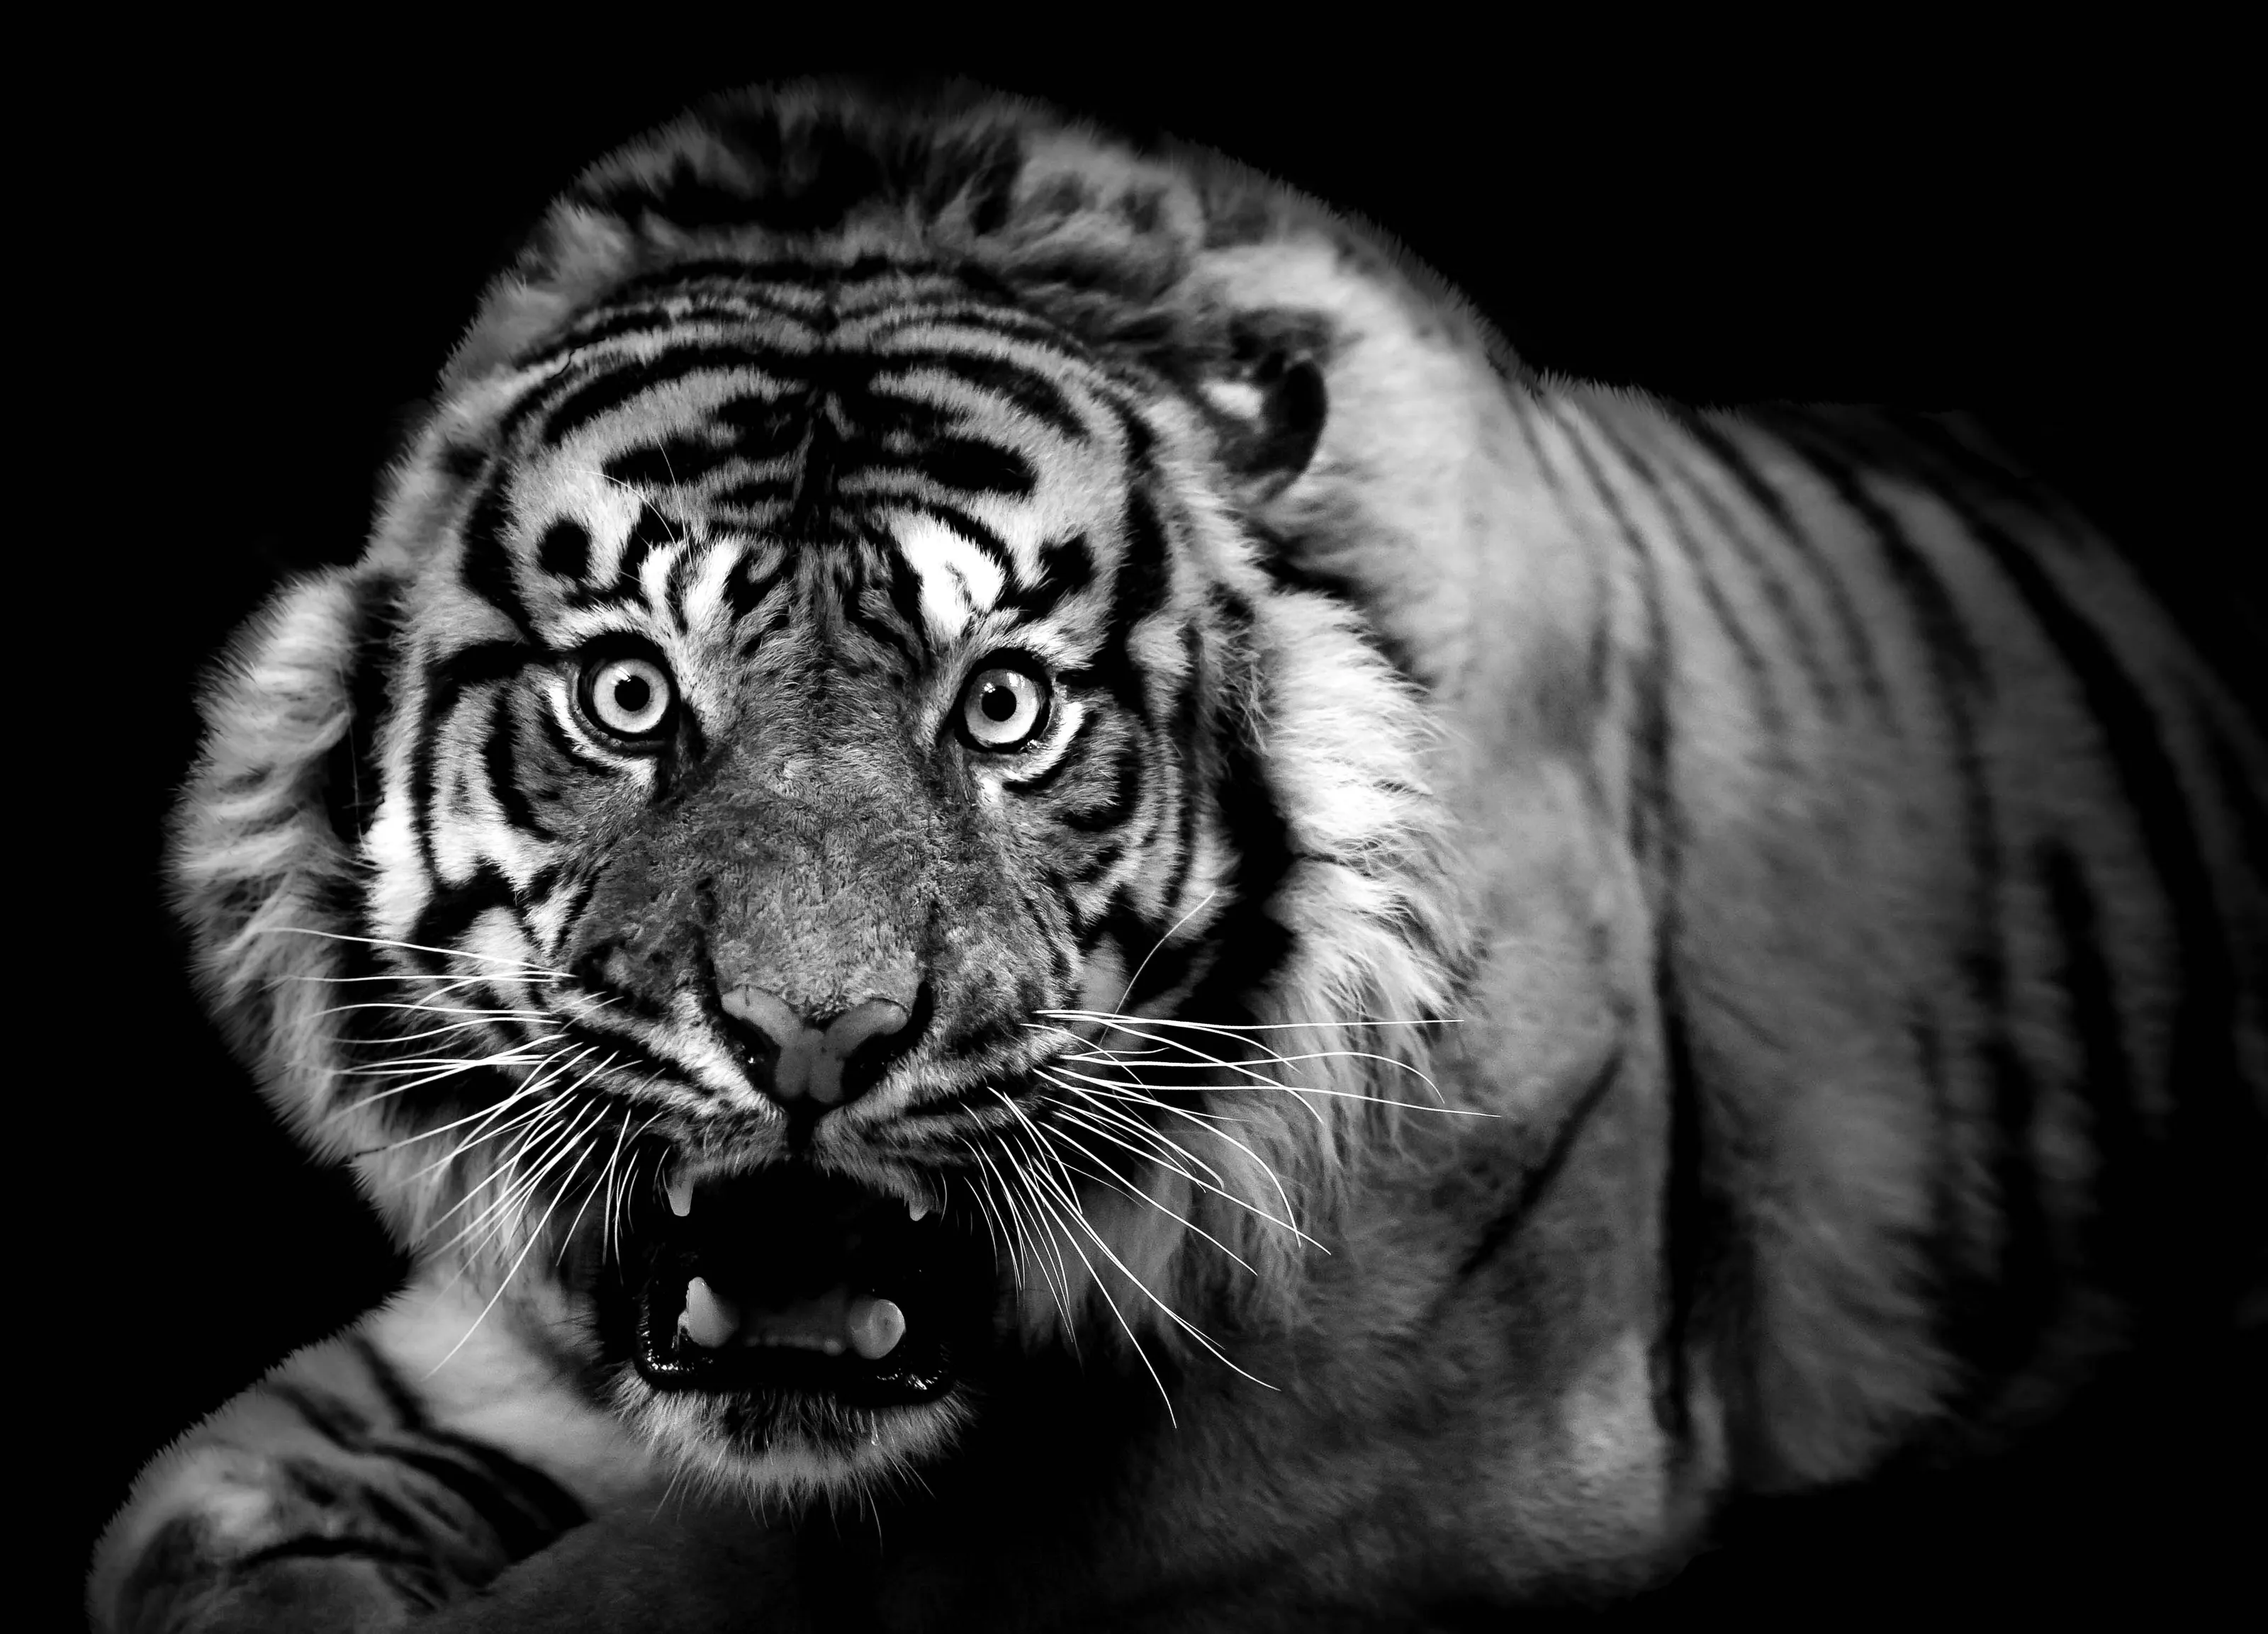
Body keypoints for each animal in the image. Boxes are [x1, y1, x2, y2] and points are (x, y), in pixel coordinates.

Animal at [90, 79, 2264, 1630]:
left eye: (1006, 707)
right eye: (628, 694)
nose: (810, 1041)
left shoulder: (1382, 1440)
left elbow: (688, 1590)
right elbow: (188, 1530)